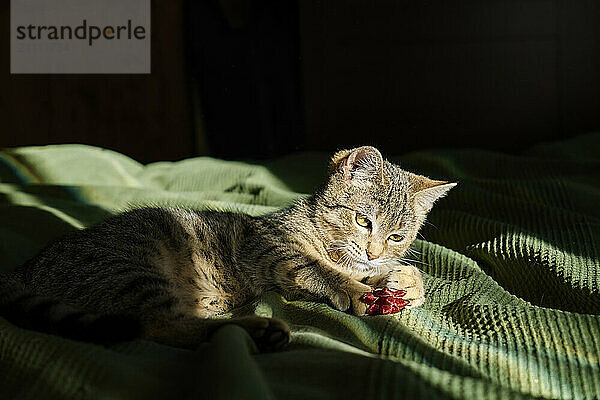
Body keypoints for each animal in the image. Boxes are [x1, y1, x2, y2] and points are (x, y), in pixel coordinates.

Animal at [0, 146, 454, 350]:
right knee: (159, 326)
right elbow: (321, 270)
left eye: (397, 236)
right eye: (363, 220)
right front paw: (358, 290)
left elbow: (401, 274)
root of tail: (23, 269)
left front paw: (404, 279)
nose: (375, 252)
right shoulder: (274, 251)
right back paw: (256, 328)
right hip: (133, 267)